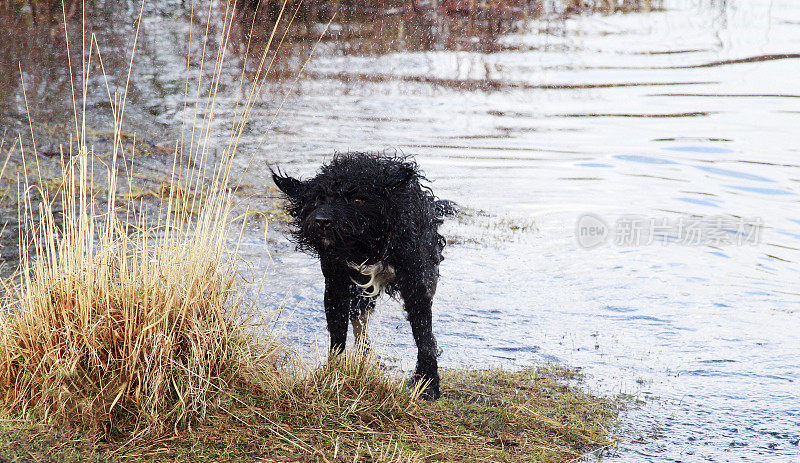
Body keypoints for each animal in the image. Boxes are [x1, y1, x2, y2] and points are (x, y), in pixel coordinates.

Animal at [272, 151, 454, 398]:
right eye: (318, 199)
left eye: (357, 200)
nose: (322, 221)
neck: (366, 246)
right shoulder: (336, 284)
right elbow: (338, 332)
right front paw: (333, 372)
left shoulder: (416, 284)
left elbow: (424, 336)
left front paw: (428, 382)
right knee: (359, 318)